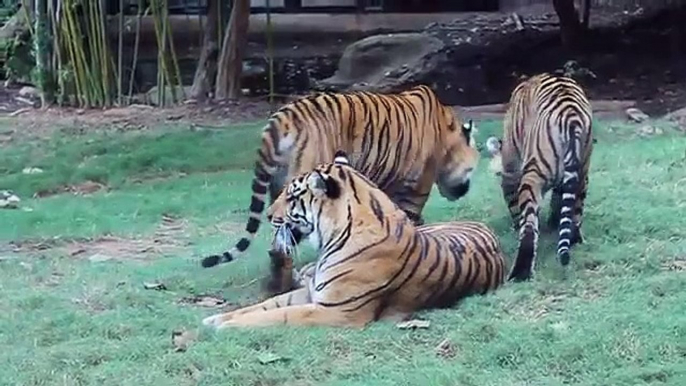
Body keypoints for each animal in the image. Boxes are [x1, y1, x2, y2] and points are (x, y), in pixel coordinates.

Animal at [199, 85, 482, 296]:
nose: (464, 190)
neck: (447, 133)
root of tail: (283, 117)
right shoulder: (415, 190)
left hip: (280, 193)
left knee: (278, 244)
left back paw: (277, 286)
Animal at [202, 152, 508, 328]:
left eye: (291, 197)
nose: (267, 214)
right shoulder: (311, 293)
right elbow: (262, 306)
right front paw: (214, 318)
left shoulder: (338, 311)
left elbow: (274, 316)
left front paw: (224, 327)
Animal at [494, 72, 596, 282]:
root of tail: (571, 115)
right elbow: (559, 201)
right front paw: (554, 222)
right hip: (583, 172)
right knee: (576, 212)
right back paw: (573, 239)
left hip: (533, 176)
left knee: (529, 228)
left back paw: (520, 273)